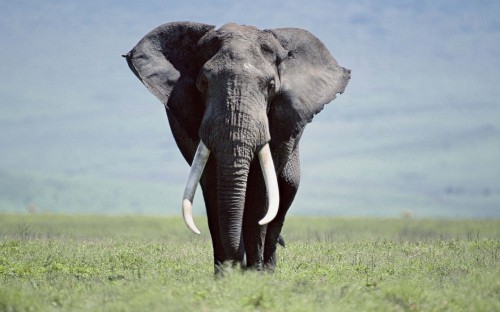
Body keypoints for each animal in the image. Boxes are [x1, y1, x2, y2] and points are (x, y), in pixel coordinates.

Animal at [124, 21, 352, 272]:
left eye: (270, 85)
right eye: (203, 83)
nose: (239, 265)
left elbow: (261, 190)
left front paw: (254, 274)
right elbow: (212, 184)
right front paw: (226, 274)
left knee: (287, 190)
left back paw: (268, 268)